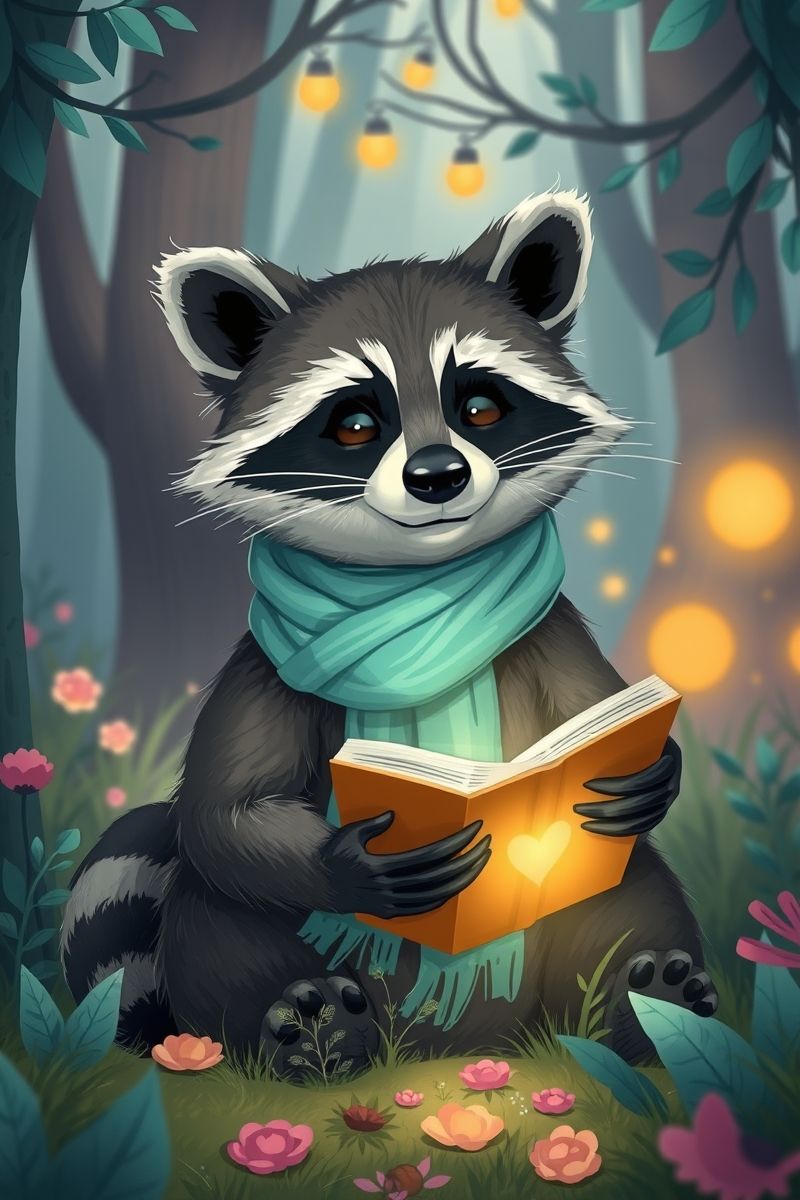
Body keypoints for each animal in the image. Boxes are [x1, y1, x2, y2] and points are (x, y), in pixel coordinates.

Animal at [62, 192, 717, 1070]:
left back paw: (641, 999)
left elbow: (596, 708)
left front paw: (657, 765)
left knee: (629, 889)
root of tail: (452, 1040)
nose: (438, 476)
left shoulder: (546, 633)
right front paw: (352, 863)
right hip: (237, 936)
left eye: (479, 405)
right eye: (353, 423)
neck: (420, 590)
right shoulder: (264, 666)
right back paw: (304, 1022)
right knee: (221, 925)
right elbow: (223, 809)